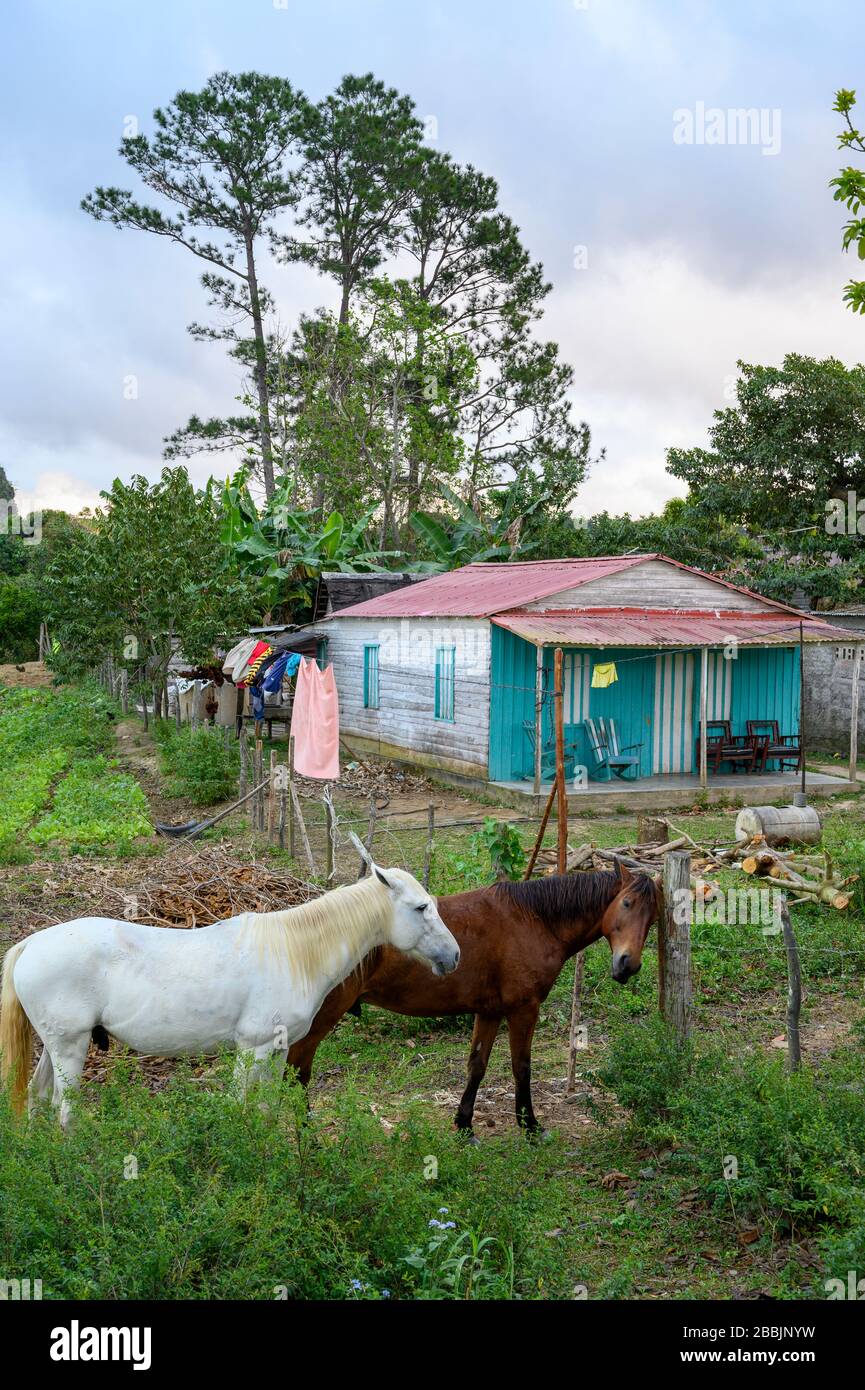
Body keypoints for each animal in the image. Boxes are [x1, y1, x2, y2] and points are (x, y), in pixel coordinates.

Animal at [0, 834, 461, 1128]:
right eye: (421, 907)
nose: (454, 956)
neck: (294, 953)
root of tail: (30, 945)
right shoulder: (252, 1049)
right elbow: (241, 1106)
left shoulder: (278, 1050)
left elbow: (267, 1110)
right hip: (70, 1047)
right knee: (64, 1110)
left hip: (57, 1046)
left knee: (38, 1099)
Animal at [287, 856, 661, 1139]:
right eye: (626, 903)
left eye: (653, 918)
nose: (628, 965)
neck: (533, 920)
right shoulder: (523, 1009)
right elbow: (521, 1067)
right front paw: (529, 1125)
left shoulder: (490, 1012)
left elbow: (477, 1066)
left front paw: (465, 1124)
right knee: (296, 1075)